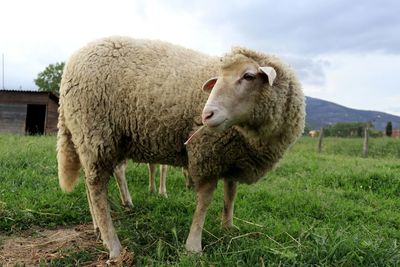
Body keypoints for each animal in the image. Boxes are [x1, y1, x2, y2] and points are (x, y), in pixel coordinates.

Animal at [57, 35, 304, 260]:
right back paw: (113, 246)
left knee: (91, 183)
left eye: (249, 76)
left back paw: (99, 229)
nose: (206, 115)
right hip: (96, 132)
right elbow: (205, 200)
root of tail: (70, 64)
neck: (249, 133)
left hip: (96, 139)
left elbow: (230, 193)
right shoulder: (207, 153)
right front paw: (193, 245)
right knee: (97, 188)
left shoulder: (232, 155)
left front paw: (228, 227)